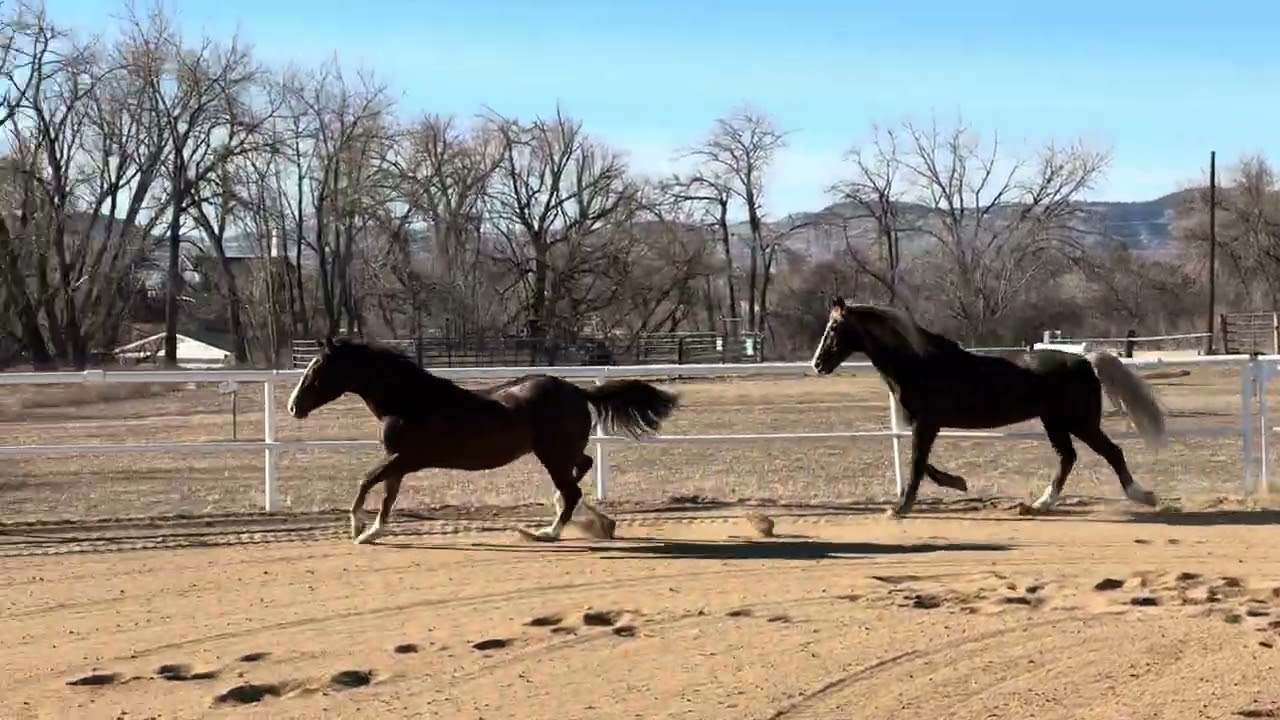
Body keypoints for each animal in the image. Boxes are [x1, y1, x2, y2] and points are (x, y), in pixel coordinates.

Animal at [285, 337, 680, 545]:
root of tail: (577, 391)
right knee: (582, 469)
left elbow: (366, 481)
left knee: (572, 490)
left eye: (317, 371)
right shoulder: (398, 460)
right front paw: (373, 532)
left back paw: (547, 531)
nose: (293, 406)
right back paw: (588, 519)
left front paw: (356, 528)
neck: (410, 401)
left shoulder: (405, 458)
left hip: (551, 455)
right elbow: (388, 495)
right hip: (561, 452)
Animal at [810, 297, 1167, 517]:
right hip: (1054, 422)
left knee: (1111, 452)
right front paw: (958, 483)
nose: (818, 364)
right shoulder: (923, 425)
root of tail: (1085, 360)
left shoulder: (927, 423)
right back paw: (1039, 504)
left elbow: (916, 464)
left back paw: (1143, 496)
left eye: (834, 328)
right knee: (1068, 458)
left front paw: (900, 508)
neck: (920, 364)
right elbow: (923, 464)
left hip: (1079, 422)